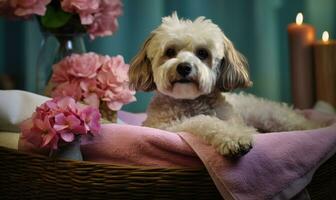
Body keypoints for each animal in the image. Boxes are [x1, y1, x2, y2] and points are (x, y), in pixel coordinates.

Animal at [128, 12, 320, 158]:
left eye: (202, 53)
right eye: (170, 52)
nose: (184, 67)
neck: (191, 101)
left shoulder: (234, 120)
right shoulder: (164, 127)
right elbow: (204, 121)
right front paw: (232, 138)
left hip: (272, 115)